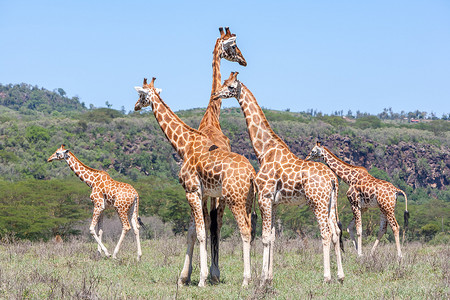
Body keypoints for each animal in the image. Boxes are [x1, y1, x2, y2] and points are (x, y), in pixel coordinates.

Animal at [133, 77, 256, 286]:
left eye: (141, 95)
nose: (135, 106)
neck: (184, 145)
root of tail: (251, 174)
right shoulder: (200, 193)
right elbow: (193, 231)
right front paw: (185, 277)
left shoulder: (191, 191)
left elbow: (200, 233)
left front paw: (201, 279)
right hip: (247, 200)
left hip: (235, 199)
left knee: (245, 231)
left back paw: (246, 280)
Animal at [213, 72, 346, 284]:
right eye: (224, 82)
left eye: (231, 86)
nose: (216, 94)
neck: (264, 150)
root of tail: (333, 179)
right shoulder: (274, 203)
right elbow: (273, 237)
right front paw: (269, 277)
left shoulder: (264, 197)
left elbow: (265, 237)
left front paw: (261, 279)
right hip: (331, 203)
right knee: (335, 232)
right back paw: (340, 276)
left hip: (317, 202)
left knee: (325, 233)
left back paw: (327, 277)